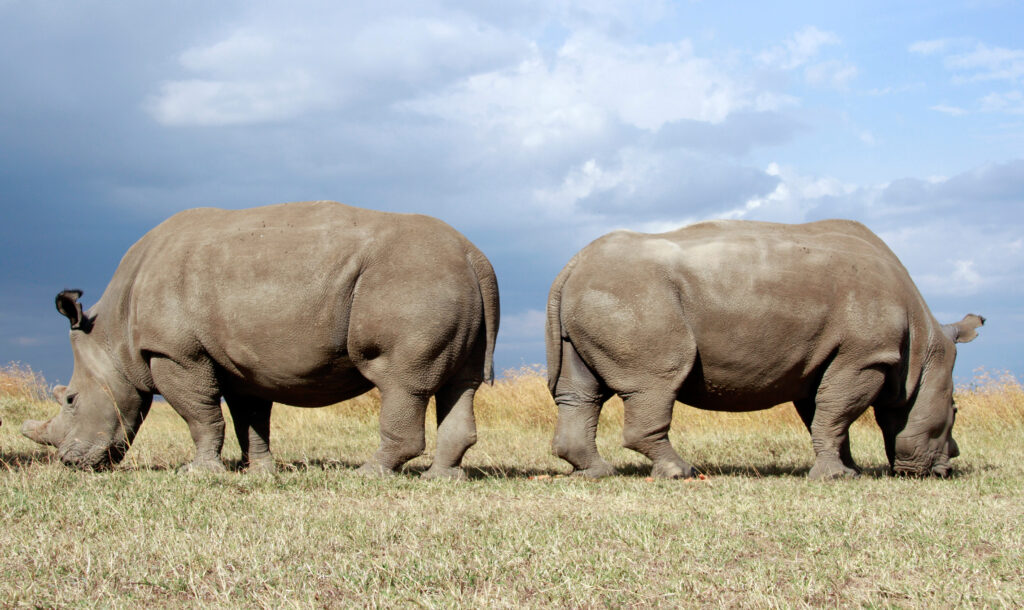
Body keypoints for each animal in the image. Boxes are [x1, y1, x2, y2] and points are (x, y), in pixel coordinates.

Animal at [22, 201, 499, 479]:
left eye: (70, 400)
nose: (69, 463)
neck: (113, 332)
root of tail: (474, 256)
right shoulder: (238, 361)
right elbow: (249, 419)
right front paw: (260, 473)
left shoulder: (175, 353)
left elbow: (200, 416)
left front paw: (200, 475)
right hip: (446, 280)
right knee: (462, 384)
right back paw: (442, 479)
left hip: (413, 282)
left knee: (400, 382)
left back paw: (368, 474)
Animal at [546, 219, 983, 480]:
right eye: (955, 411)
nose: (948, 466)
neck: (924, 344)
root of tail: (570, 267)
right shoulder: (865, 356)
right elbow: (836, 414)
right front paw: (837, 478)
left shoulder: (824, 360)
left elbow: (826, 416)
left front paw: (850, 471)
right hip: (633, 298)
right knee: (655, 384)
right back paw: (681, 473)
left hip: (598, 295)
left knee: (581, 391)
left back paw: (596, 473)